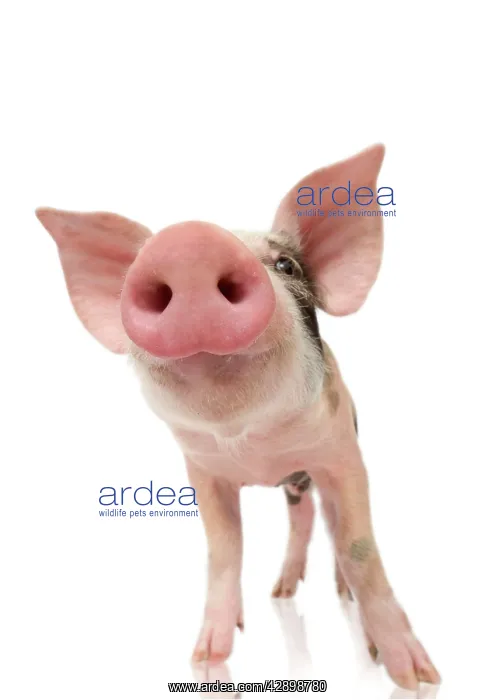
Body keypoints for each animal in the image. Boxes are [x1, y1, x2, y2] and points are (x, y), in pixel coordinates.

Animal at [36, 144, 440, 691]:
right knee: (301, 517)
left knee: (328, 527)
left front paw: (417, 677)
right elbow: (224, 552)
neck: (256, 451)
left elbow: (359, 547)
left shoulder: (343, 456)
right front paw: (207, 658)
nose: (189, 242)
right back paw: (281, 593)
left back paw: (337, 596)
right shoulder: (204, 474)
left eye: (285, 264)